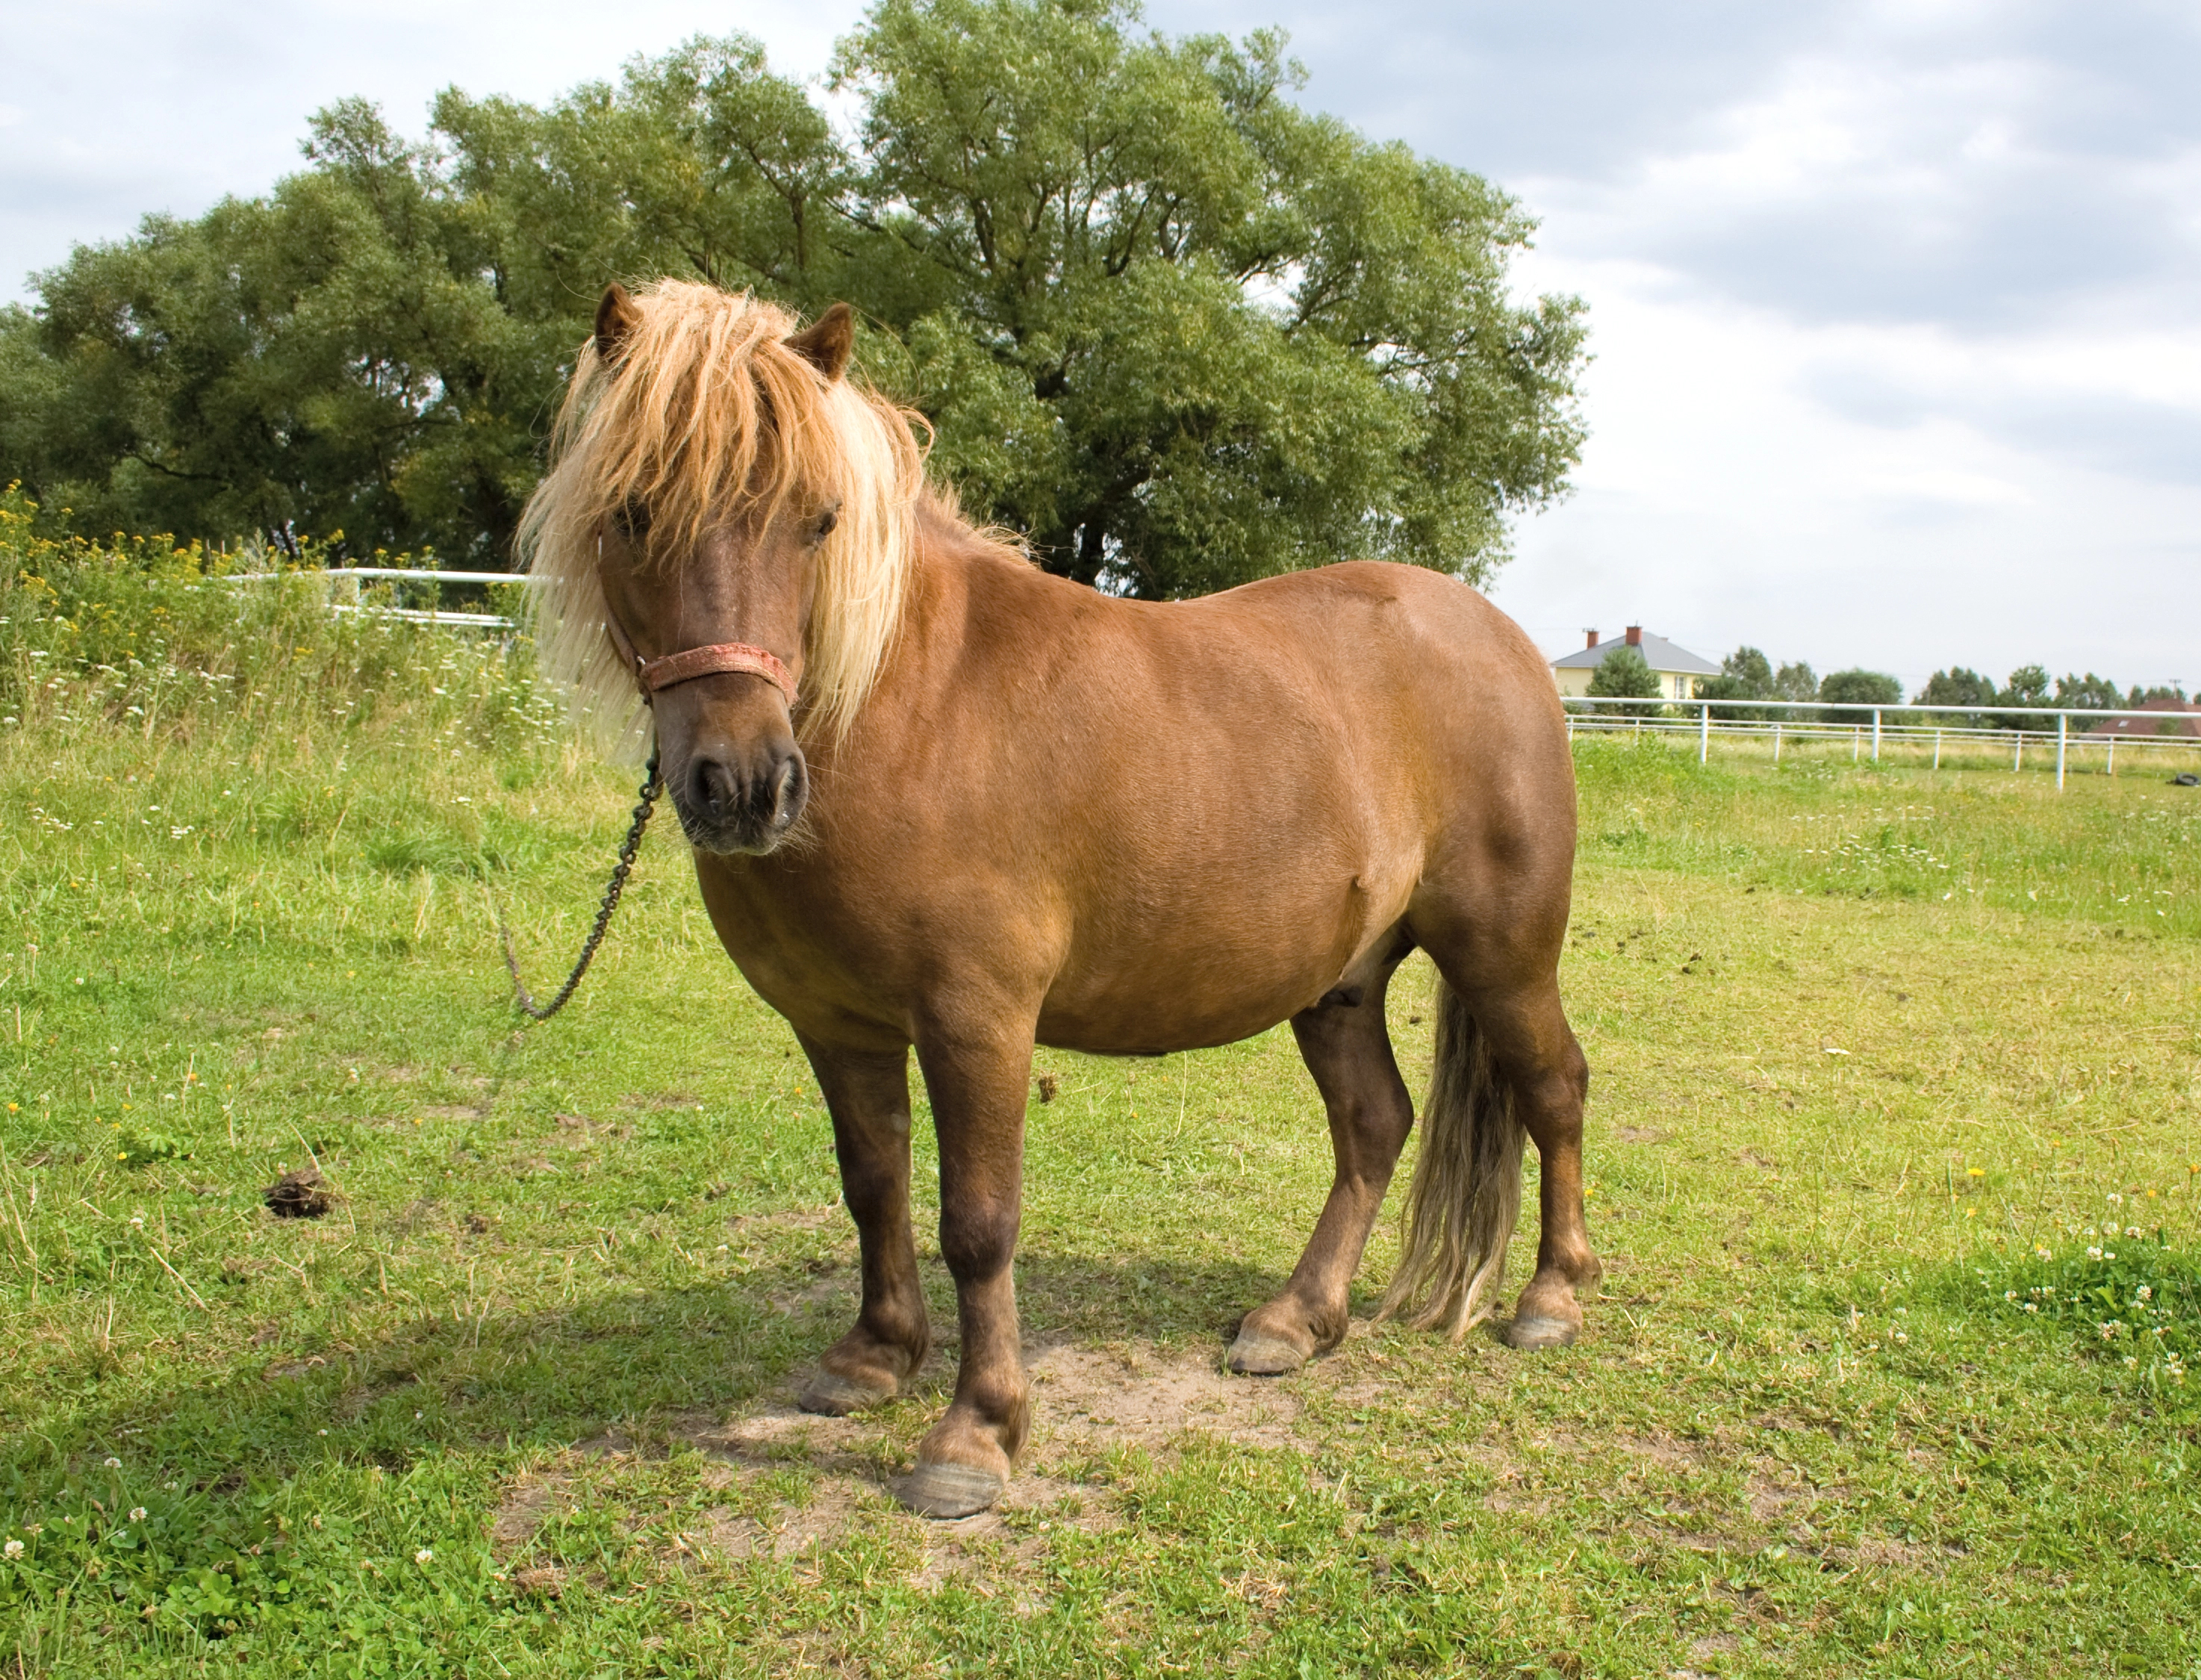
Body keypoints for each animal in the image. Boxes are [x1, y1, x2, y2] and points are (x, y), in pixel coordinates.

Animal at [518, 279, 1598, 1519]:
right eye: (634, 512)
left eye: (818, 520)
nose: (744, 784)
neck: (902, 707)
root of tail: (1503, 638)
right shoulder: (837, 1024)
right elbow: (873, 1184)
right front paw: (873, 1358)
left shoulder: (978, 1020)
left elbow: (978, 1222)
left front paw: (975, 1435)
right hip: (1339, 980)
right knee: (1374, 1124)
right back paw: (1295, 1320)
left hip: (1502, 952)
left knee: (1554, 1088)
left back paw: (1552, 1297)